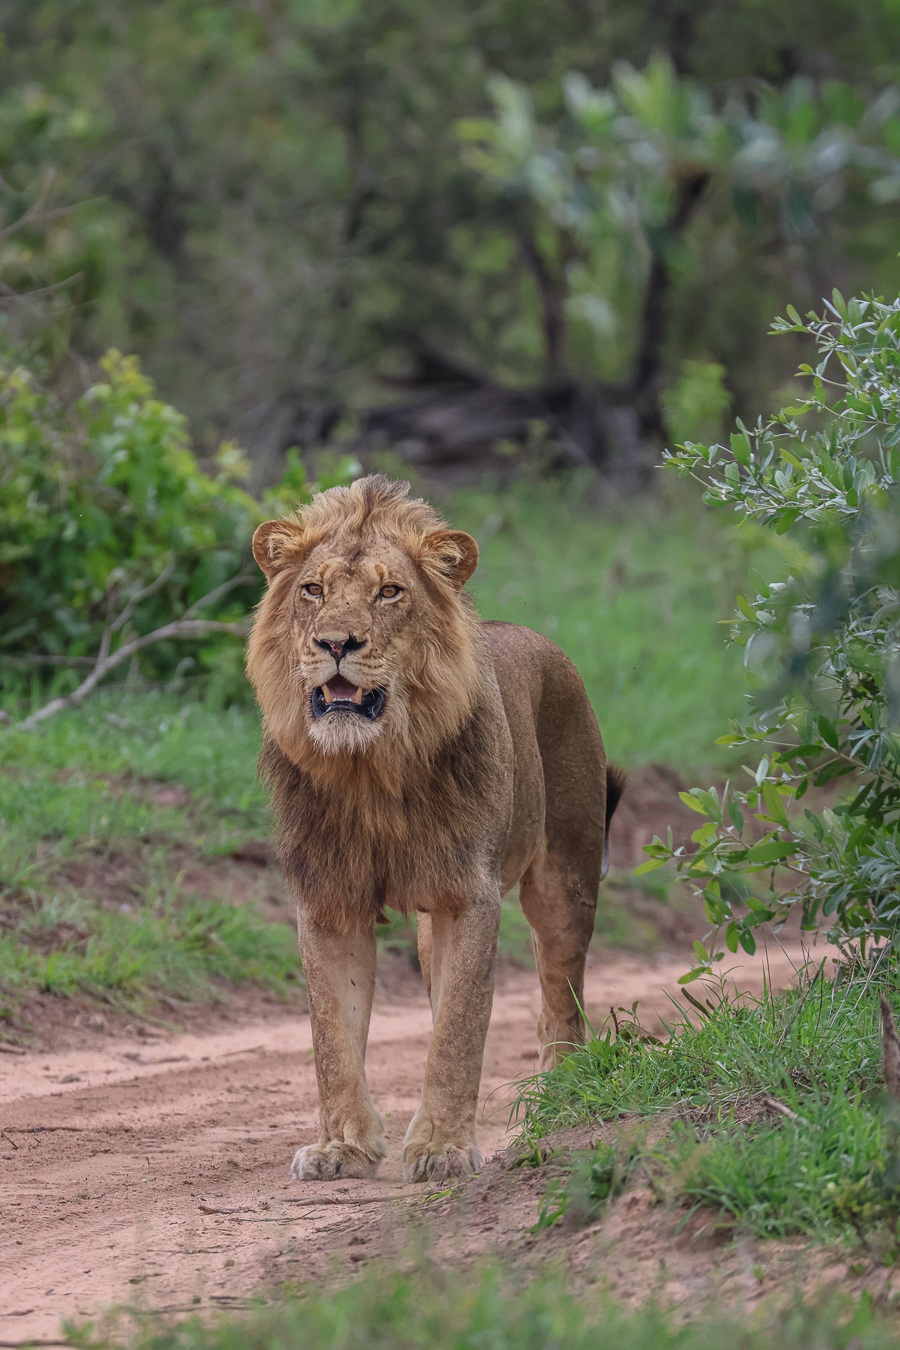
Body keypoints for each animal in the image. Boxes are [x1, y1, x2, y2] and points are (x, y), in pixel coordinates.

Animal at [247, 474, 623, 1184]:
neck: (369, 768)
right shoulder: (329, 902)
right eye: (313, 591)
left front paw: (444, 1148)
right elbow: (332, 1037)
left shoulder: (468, 897)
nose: (336, 644)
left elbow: (459, 1029)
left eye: (390, 592)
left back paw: (559, 1094)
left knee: (561, 995)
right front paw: (342, 1148)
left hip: (566, 879)